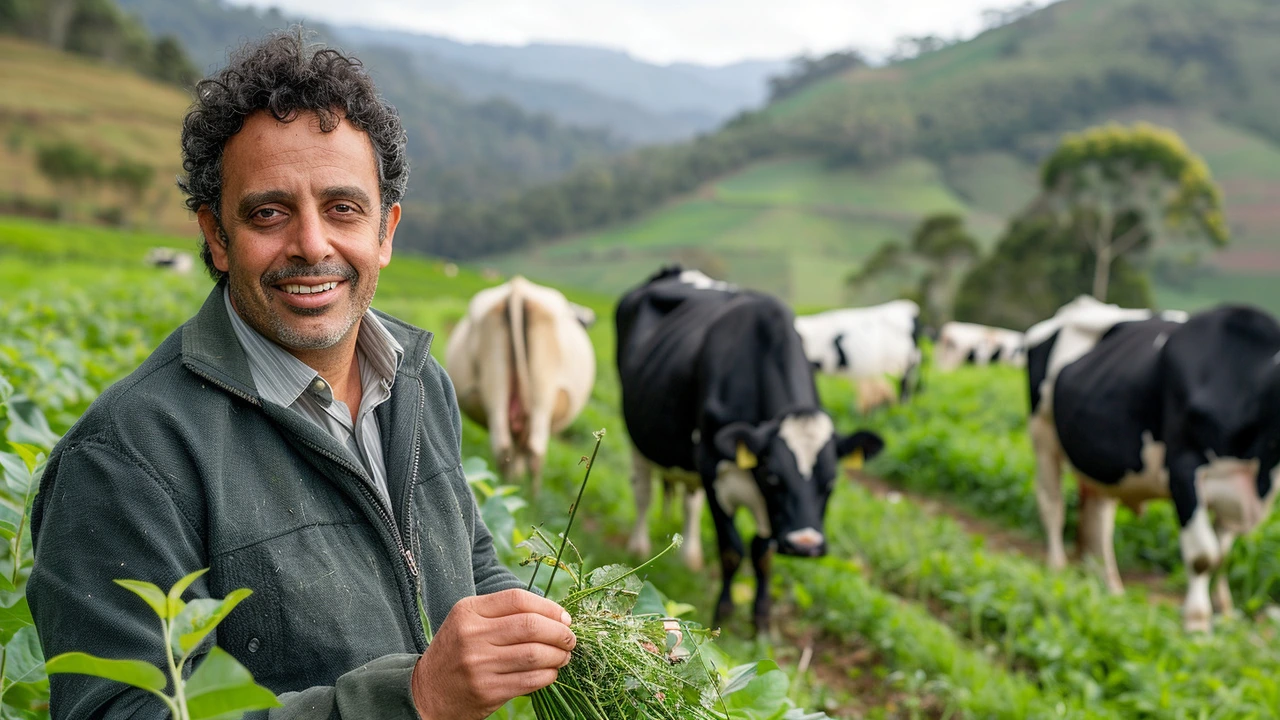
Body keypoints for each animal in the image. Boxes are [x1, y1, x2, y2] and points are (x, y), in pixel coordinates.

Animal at [445, 275, 593, 491]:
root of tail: (518, 289)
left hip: (496, 380)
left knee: (504, 446)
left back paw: (506, 487)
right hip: (542, 393)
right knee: (535, 451)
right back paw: (532, 496)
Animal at [616, 266, 880, 630]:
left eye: (831, 482)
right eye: (773, 477)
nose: (805, 545)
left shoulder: (769, 510)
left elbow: (762, 555)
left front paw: (761, 621)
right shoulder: (712, 468)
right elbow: (733, 550)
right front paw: (723, 614)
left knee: (689, 504)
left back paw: (690, 557)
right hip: (637, 433)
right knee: (642, 492)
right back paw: (638, 547)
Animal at [1029, 293, 1280, 627]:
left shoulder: (1238, 488)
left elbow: (1222, 556)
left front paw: (1225, 613)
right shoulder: (1184, 468)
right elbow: (1203, 555)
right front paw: (1197, 621)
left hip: (1101, 461)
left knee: (1098, 519)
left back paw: (1108, 586)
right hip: (1043, 435)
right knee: (1052, 504)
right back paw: (1057, 567)